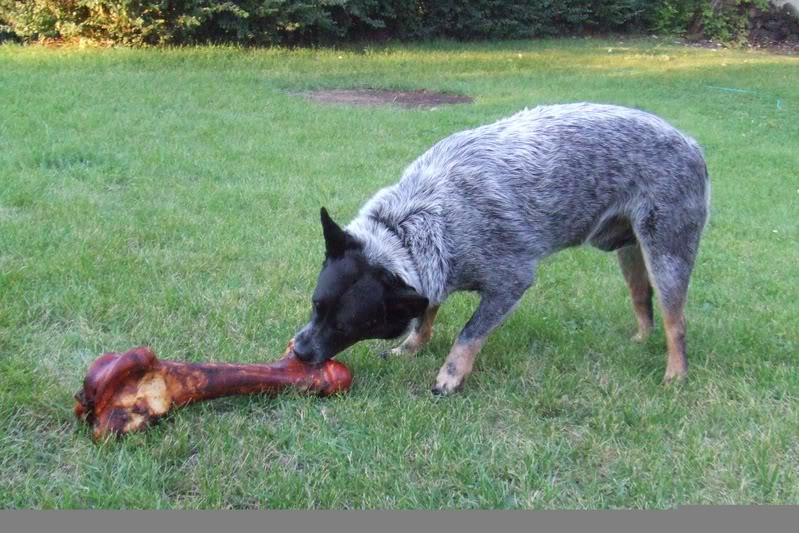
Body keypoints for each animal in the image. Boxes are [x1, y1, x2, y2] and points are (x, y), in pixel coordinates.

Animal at [294, 104, 712, 392]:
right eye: (316, 305)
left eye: (349, 325)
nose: (298, 351)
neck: (410, 227)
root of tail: (693, 144)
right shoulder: (434, 274)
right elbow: (426, 315)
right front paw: (410, 348)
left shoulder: (510, 281)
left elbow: (468, 333)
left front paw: (449, 376)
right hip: (631, 252)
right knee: (642, 298)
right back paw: (640, 340)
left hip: (667, 251)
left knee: (676, 322)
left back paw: (676, 374)